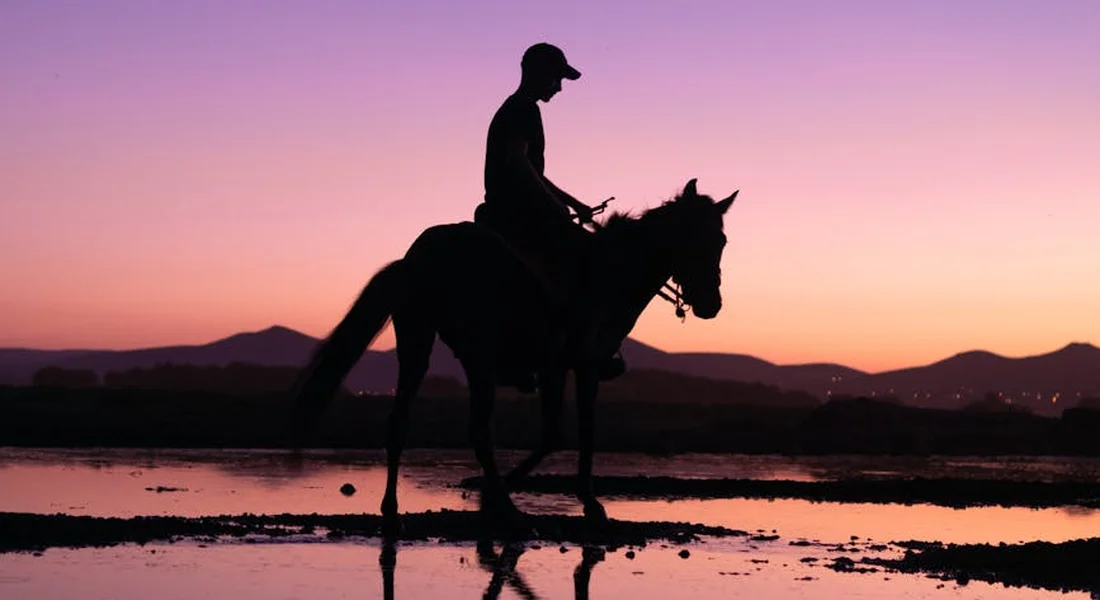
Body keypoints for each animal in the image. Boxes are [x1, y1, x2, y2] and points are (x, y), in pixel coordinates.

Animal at [288, 178, 737, 530]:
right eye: (697, 240)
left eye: (721, 241)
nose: (710, 305)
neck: (608, 273)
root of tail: (415, 257)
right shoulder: (584, 364)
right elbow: (583, 430)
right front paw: (588, 503)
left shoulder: (556, 367)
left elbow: (552, 434)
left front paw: (497, 491)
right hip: (477, 356)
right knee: (477, 429)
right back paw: (505, 508)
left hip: (418, 342)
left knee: (400, 422)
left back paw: (392, 507)